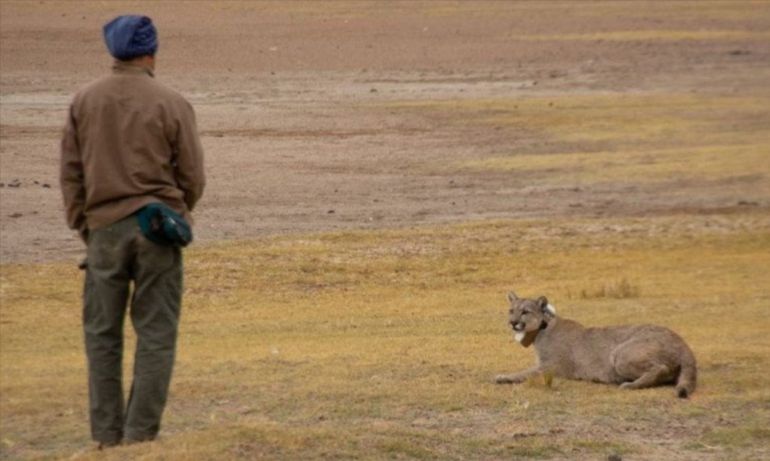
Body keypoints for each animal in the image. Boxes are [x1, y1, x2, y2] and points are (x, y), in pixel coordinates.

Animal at [495, 292, 697, 398]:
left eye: (525, 312)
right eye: (511, 310)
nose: (512, 322)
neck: (540, 330)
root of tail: (682, 341)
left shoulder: (552, 367)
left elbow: (525, 373)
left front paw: (503, 377)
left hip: (620, 353)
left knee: (660, 368)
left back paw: (629, 385)